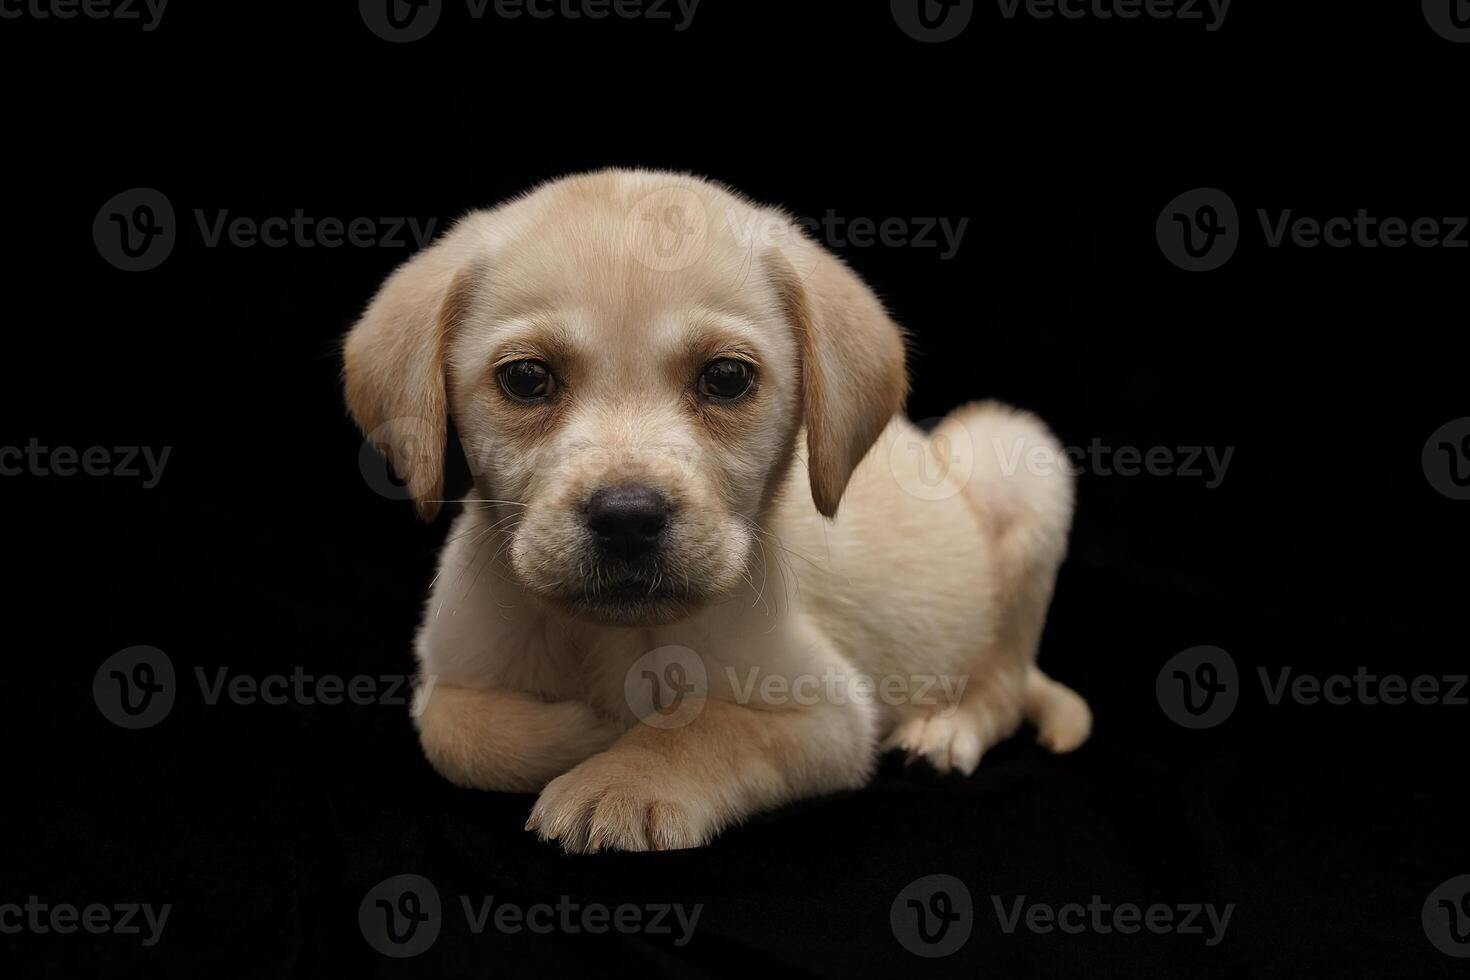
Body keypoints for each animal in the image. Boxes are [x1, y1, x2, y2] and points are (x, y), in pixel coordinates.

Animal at [338, 168, 1087, 852]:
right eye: (525, 378)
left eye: (727, 378)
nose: (628, 518)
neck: (607, 639)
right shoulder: (447, 669)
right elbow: (452, 730)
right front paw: (588, 733)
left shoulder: (827, 713)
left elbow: (708, 724)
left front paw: (620, 776)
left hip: (1018, 458)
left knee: (1004, 679)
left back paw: (946, 728)